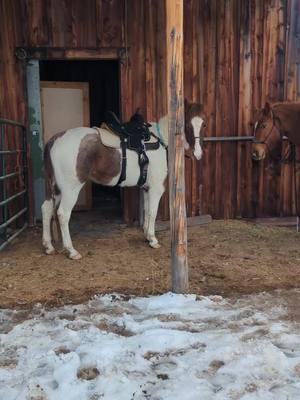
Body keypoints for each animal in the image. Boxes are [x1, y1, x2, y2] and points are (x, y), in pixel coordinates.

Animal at [41, 100, 206, 260]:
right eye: (187, 124)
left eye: (204, 123)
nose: (197, 154)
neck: (160, 142)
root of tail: (55, 139)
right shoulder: (156, 188)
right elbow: (153, 211)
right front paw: (153, 240)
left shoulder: (146, 187)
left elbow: (147, 211)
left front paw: (147, 236)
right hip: (70, 189)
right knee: (63, 214)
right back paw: (71, 251)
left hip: (55, 189)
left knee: (46, 209)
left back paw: (48, 246)